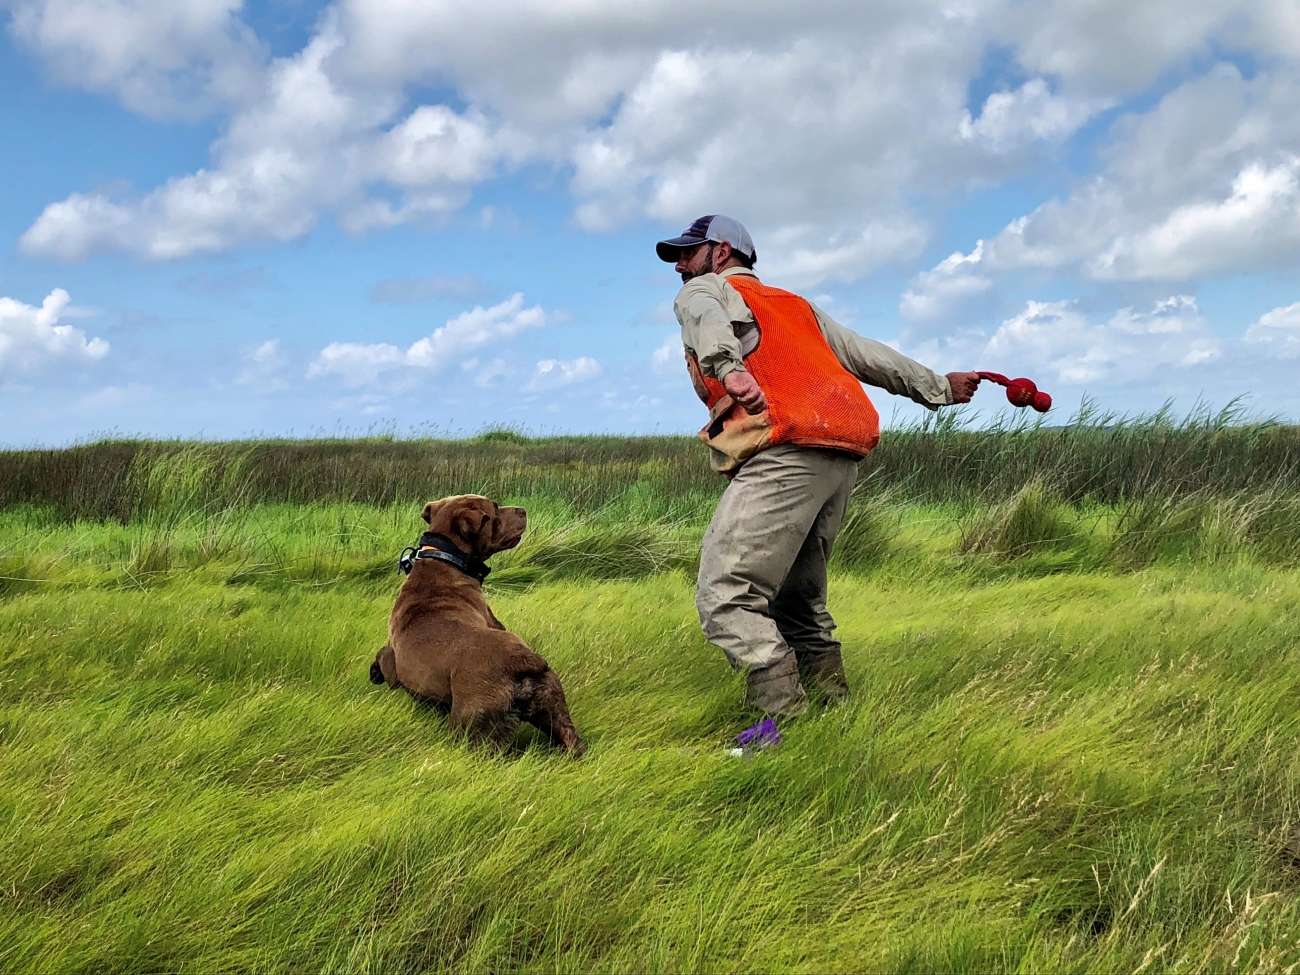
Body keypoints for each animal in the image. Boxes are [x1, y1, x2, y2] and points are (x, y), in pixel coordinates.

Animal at [370, 494, 585, 756]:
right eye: (495, 510)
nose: (523, 509)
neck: (443, 558)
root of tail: (522, 659)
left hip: (476, 729)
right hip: (553, 712)